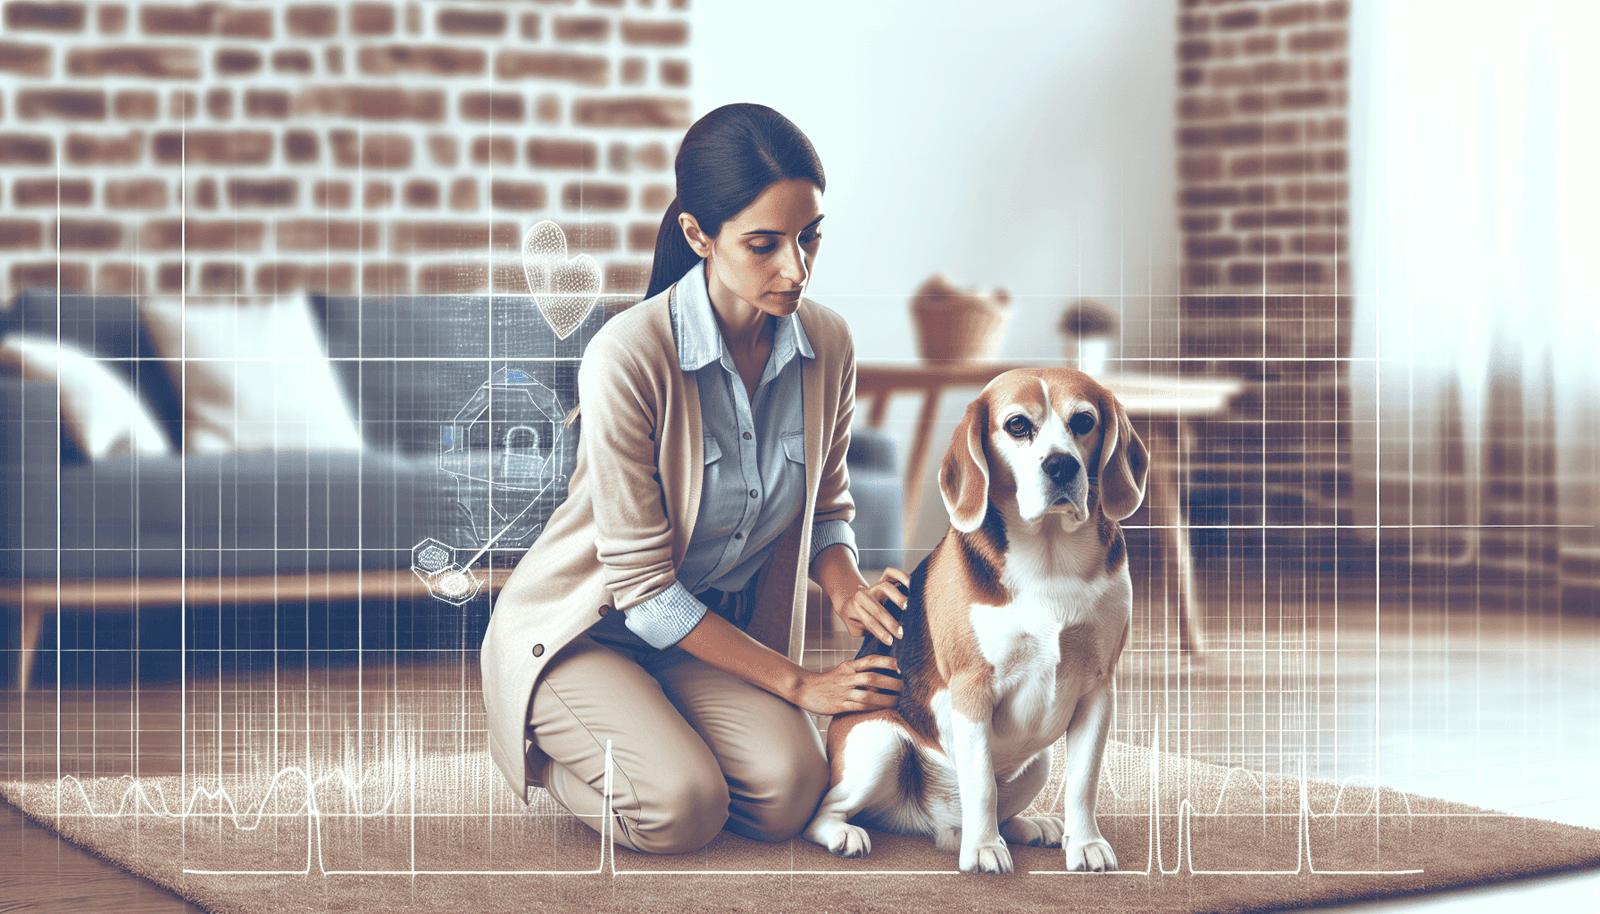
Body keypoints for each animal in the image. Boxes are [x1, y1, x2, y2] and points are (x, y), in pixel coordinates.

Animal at [806, 368, 1145, 877]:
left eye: (1084, 421)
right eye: (1017, 425)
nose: (1062, 466)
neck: (1050, 558)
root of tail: (930, 821)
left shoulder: (1099, 689)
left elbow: (1084, 780)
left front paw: (1085, 843)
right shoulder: (971, 688)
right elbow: (981, 781)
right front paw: (985, 850)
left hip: (1039, 761)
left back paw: (1028, 827)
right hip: (879, 742)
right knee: (824, 811)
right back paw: (852, 834)